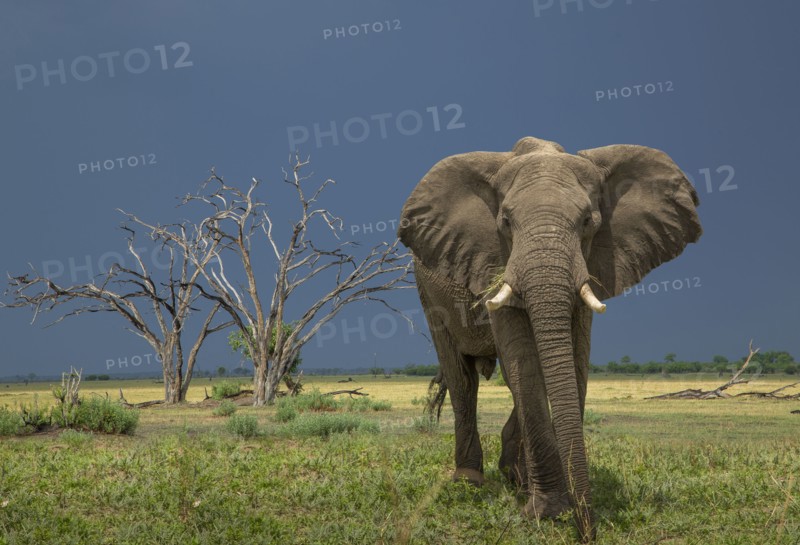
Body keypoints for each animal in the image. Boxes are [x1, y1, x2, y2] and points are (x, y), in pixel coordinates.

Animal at [397, 136, 701, 542]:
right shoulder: (493, 258)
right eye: (505, 223)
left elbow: (573, 360)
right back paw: (470, 481)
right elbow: (524, 362)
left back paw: (515, 476)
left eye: (588, 222)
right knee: (462, 378)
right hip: (428, 293)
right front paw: (548, 512)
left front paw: (546, 502)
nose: (588, 533)